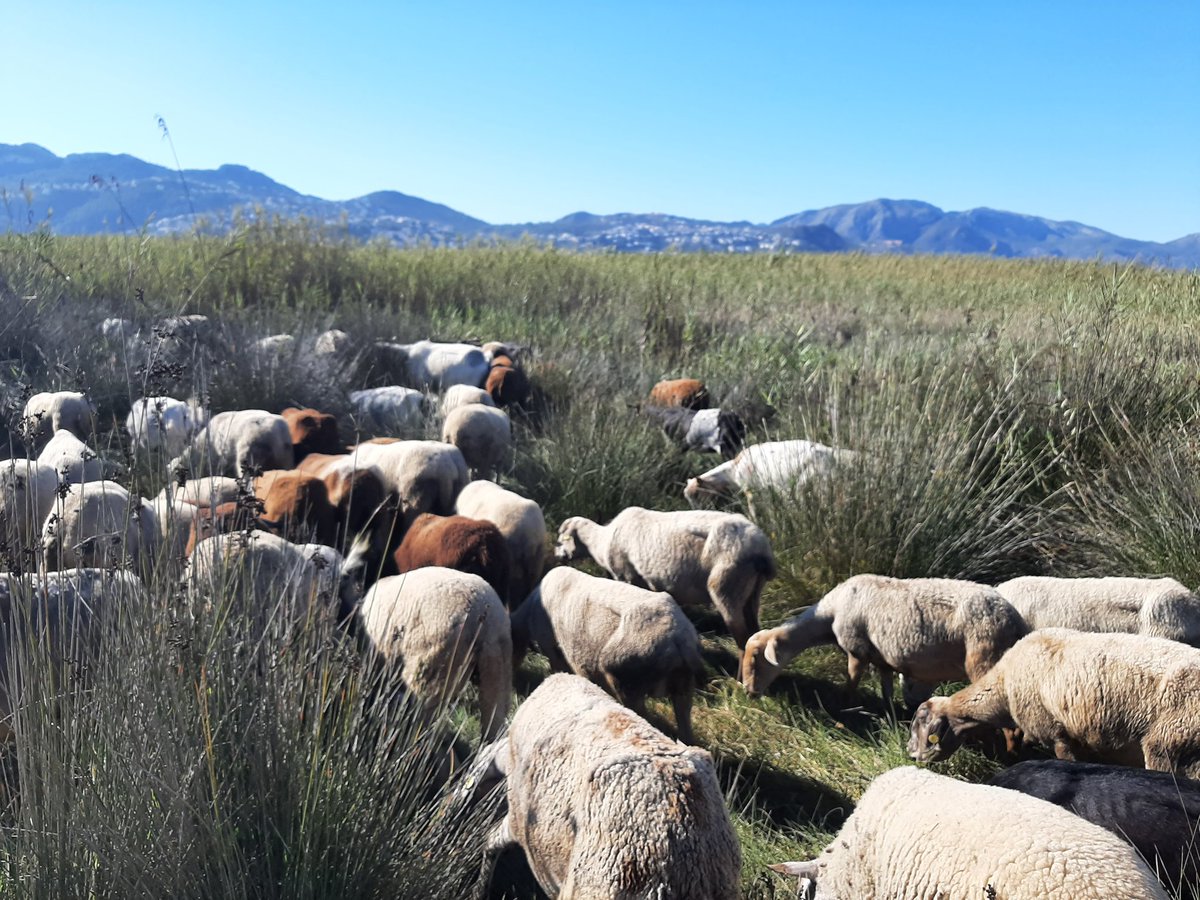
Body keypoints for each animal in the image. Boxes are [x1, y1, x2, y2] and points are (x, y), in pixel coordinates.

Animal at [554, 506, 775, 648]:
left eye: (561, 539)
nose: (557, 556)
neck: (600, 542)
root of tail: (760, 546)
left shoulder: (625, 576)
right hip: (751, 592)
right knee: (753, 632)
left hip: (726, 586)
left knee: (741, 635)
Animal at [741, 575, 1028, 708]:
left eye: (756, 661)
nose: (749, 693)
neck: (830, 613)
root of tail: (1016, 621)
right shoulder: (882, 660)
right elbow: (886, 690)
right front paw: (889, 714)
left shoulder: (856, 649)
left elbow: (852, 680)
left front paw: (846, 706)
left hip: (984, 659)